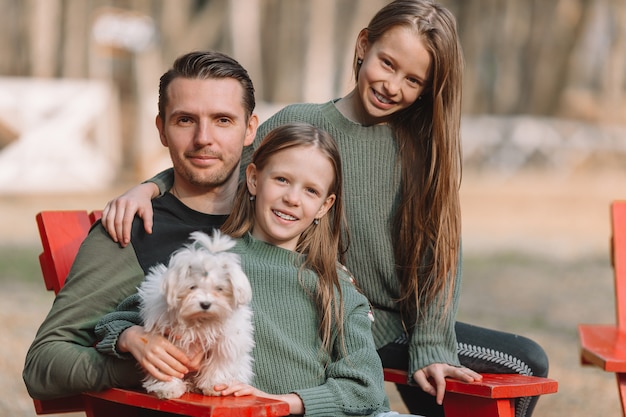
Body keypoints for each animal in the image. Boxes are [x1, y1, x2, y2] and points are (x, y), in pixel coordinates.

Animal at [138, 231, 252, 396]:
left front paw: (214, 385)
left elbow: (220, 361)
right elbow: (167, 367)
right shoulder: (168, 344)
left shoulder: (226, 341)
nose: (205, 304)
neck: (200, 320)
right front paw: (168, 387)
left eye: (219, 289)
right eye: (192, 287)